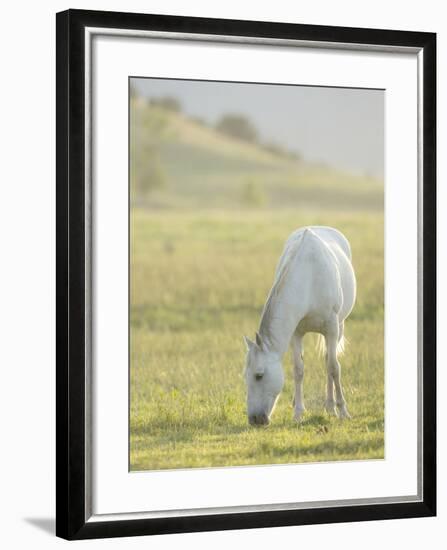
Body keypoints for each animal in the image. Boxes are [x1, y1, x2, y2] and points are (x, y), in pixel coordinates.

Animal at [245, 226, 356, 430]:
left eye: (259, 375)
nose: (254, 420)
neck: (309, 278)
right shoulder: (296, 333)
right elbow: (298, 370)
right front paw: (298, 413)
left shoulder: (332, 327)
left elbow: (334, 367)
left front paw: (343, 410)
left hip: (339, 327)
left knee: (329, 361)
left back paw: (331, 407)